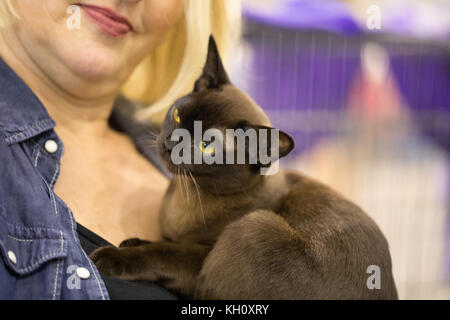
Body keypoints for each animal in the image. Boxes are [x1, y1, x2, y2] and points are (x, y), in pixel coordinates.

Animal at [90, 35, 398, 300]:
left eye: (206, 145)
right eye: (177, 115)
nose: (169, 144)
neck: (186, 193)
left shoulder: (199, 259)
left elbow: (164, 251)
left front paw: (111, 255)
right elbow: (162, 241)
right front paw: (132, 241)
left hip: (255, 224)